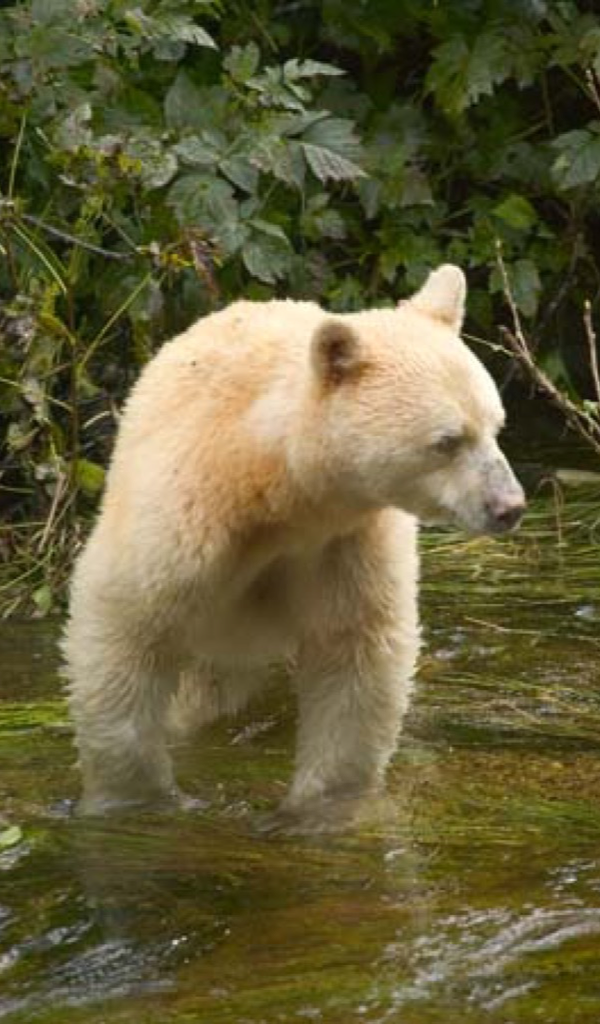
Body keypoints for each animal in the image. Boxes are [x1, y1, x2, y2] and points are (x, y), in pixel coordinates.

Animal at [63, 265, 525, 817]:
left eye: (497, 425)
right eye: (448, 441)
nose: (509, 507)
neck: (272, 486)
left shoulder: (347, 541)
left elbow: (355, 654)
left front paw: (323, 808)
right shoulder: (184, 522)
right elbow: (125, 626)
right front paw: (135, 800)